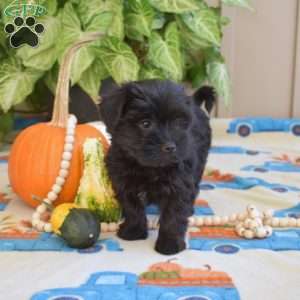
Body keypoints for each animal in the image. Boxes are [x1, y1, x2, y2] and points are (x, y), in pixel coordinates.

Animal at [99, 80, 214, 255]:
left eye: (178, 123)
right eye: (145, 123)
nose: (170, 147)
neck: (149, 167)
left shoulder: (180, 184)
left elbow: (173, 215)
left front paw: (170, 243)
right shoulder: (122, 180)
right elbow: (132, 206)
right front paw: (134, 230)